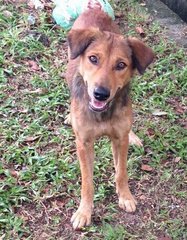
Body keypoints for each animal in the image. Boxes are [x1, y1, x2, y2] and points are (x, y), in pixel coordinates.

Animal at [65, 7, 154, 229]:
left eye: (121, 65)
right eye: (93, 59)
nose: (101, 94)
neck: (102, 112)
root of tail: (94, 8)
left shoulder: (119, 139)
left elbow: (121, 171)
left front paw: (125, 196)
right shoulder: (84, 143)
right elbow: (87, 181)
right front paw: (84, 212)